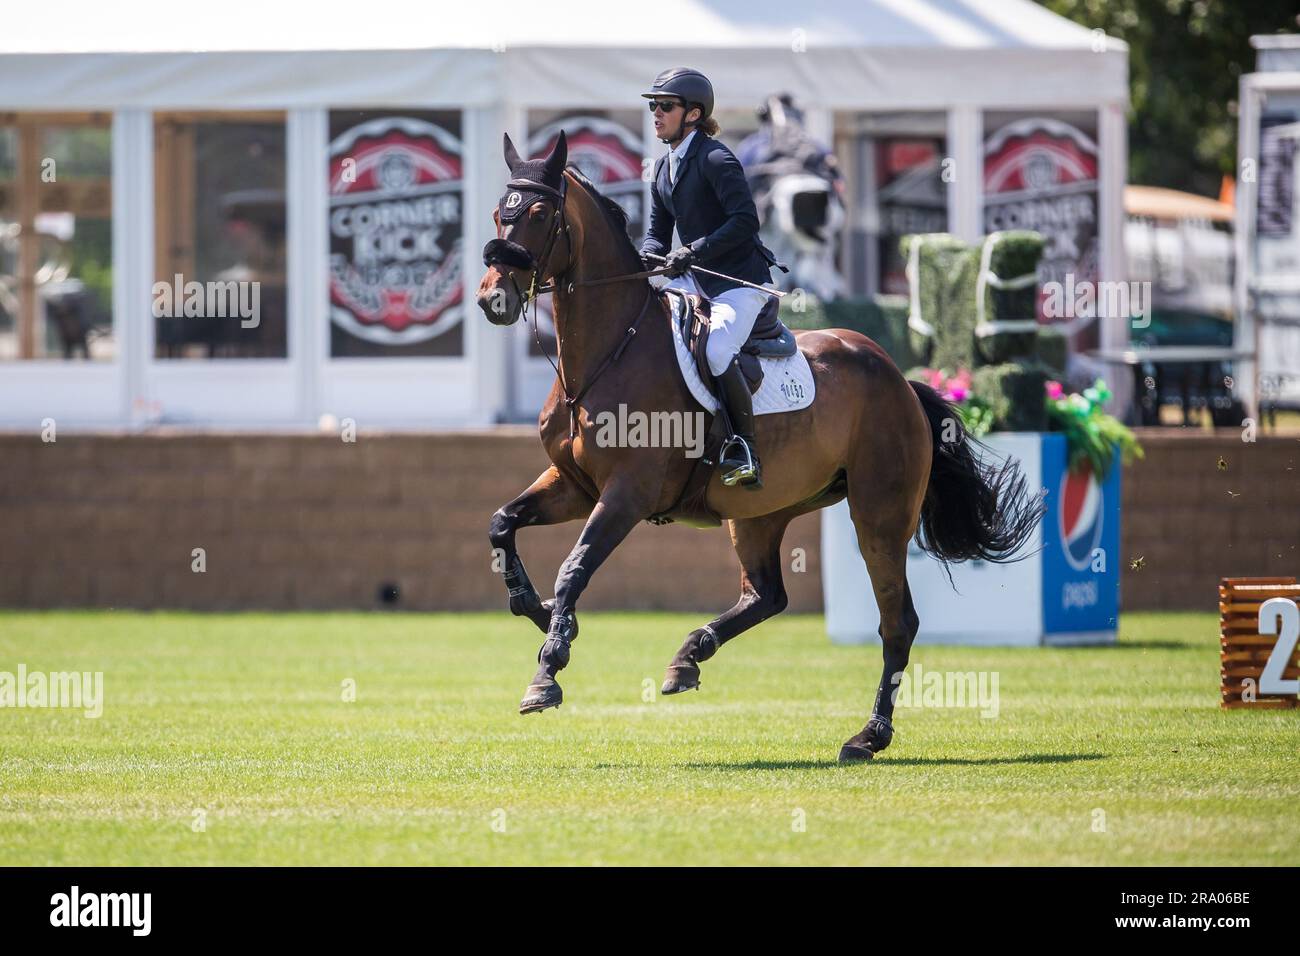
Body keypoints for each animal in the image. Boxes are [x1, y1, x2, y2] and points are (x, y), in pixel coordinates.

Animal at [475, 132, 1034, 764]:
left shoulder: (625, 494)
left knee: (897, 621)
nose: (493, 299)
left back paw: (868, 736)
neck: (608, 348)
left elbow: (574, 567)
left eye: (537, 215)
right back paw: (689, 656)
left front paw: (548, 670)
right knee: (767, 596)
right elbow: (502, 524)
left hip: (880, 514)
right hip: (759, 513)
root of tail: (895, 375)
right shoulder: (574, 486)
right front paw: (539, 611)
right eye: (498, 214)